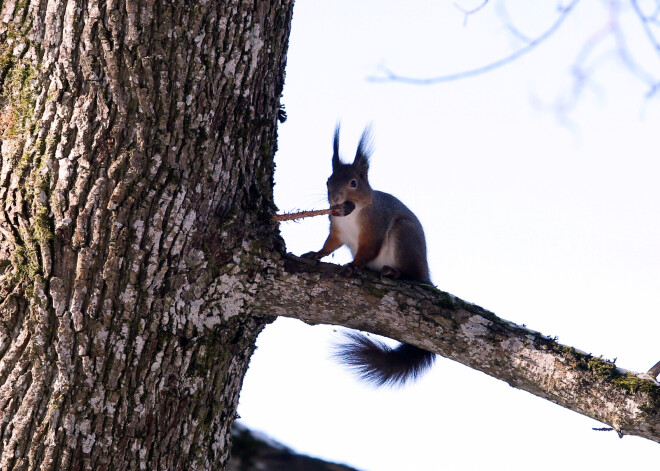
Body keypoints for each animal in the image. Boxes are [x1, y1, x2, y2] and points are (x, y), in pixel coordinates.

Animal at [302, 125, 436, 388]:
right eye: (328, 180)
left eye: (353, 183)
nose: (334, 199)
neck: (351, 214)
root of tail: (426, 272)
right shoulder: (337, 230)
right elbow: (329, 245)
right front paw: (316, 254)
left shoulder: (374, 229)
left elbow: (367, 251)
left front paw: (353, 266)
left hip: (404, 236)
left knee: (412, 275)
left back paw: (394, 272)